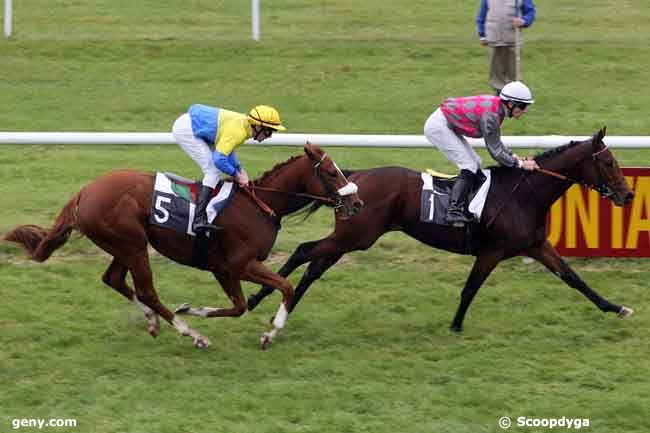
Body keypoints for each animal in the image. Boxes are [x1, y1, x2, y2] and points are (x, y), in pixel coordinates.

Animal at [3, 143, 360, 348]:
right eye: (332, 173)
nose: (357, 203)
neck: (260, 205)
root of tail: (84, 192)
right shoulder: (241, 264)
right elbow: (284, 287)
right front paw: (270, 333)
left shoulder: (223, 269)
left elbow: (239, 306)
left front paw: (193, 308)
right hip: (132, 244)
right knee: (146, 290)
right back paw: (193, 334)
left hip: (125, 245)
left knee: (114, 279)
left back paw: (155, 321)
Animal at [248, 126, 632, 332]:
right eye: (608, 162)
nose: (627, 195)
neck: (524, 194)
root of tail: (353, 179)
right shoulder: (492, 251)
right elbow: (470, 288)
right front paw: (456, 325)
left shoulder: (536, 246)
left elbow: (573, 278)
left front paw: (616, 308)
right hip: (357, 236)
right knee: (304, 252)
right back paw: (258, 297)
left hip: (350, 238)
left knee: (314, 266)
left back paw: (278, 305)